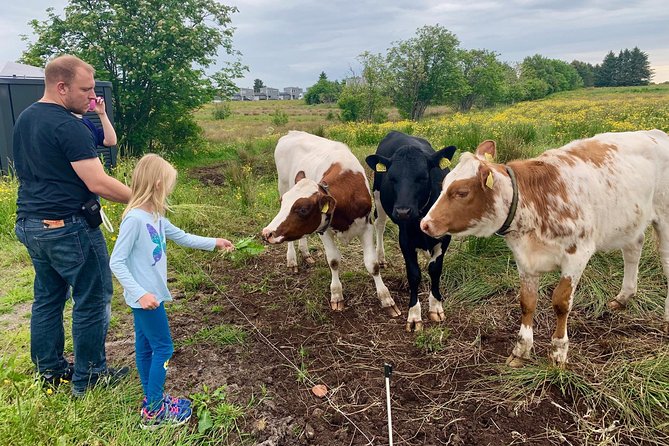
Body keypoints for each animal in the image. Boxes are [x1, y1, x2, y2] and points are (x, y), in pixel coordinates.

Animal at [260, 131, 396, 316]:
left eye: (303, 209)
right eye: (283, 202)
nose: (266, 233)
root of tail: (292, 133)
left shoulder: (366, 227)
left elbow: (372, 264)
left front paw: (386, 298)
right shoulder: (323, 230)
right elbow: (333, 261)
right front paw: (337, 295)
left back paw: (306, 254)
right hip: (282, 184)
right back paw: (292, 260)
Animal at [362, 130, 456, 332]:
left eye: (423, 177)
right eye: (392, 178)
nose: (403, 212)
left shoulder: (445, 238)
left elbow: (435, 269)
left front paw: (436, 306)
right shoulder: (405, 239)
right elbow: (414, 274)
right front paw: (414, 314)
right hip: (378, 198)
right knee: (380, 225)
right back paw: (381, 257)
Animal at [420, 129, 668, 366]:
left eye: (461, 192)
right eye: (442, 185)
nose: (425, 224)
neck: (534, 201)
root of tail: (655, 133)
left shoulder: (577, 254)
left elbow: (561, 303)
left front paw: (558, 351)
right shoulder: (524, 259)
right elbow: (527, 302)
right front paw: (521, 350)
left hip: (664, 221)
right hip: (630, 221)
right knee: (633, 250)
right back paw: (624, 296)